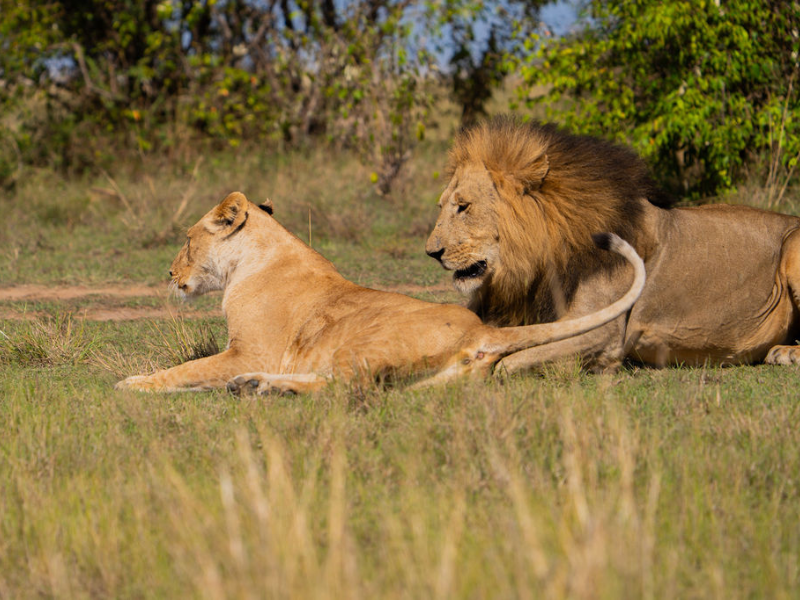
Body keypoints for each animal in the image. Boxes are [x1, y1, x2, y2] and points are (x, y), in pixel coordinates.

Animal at [115, 192, 645, 394]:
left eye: (188, 239)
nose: (169, 272)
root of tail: (483, 332)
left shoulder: (249, 349)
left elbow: (187, 370)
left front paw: (133, 384)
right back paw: (254, 386)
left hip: (362, 344)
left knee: (346, 388)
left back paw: (263, 386)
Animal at [426, 116, 800, 373]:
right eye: (441, 206)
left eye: (463, 207)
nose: (432, 253)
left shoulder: (600, 332)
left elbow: (510, 362)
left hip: (793, 244)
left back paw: (788, 353)